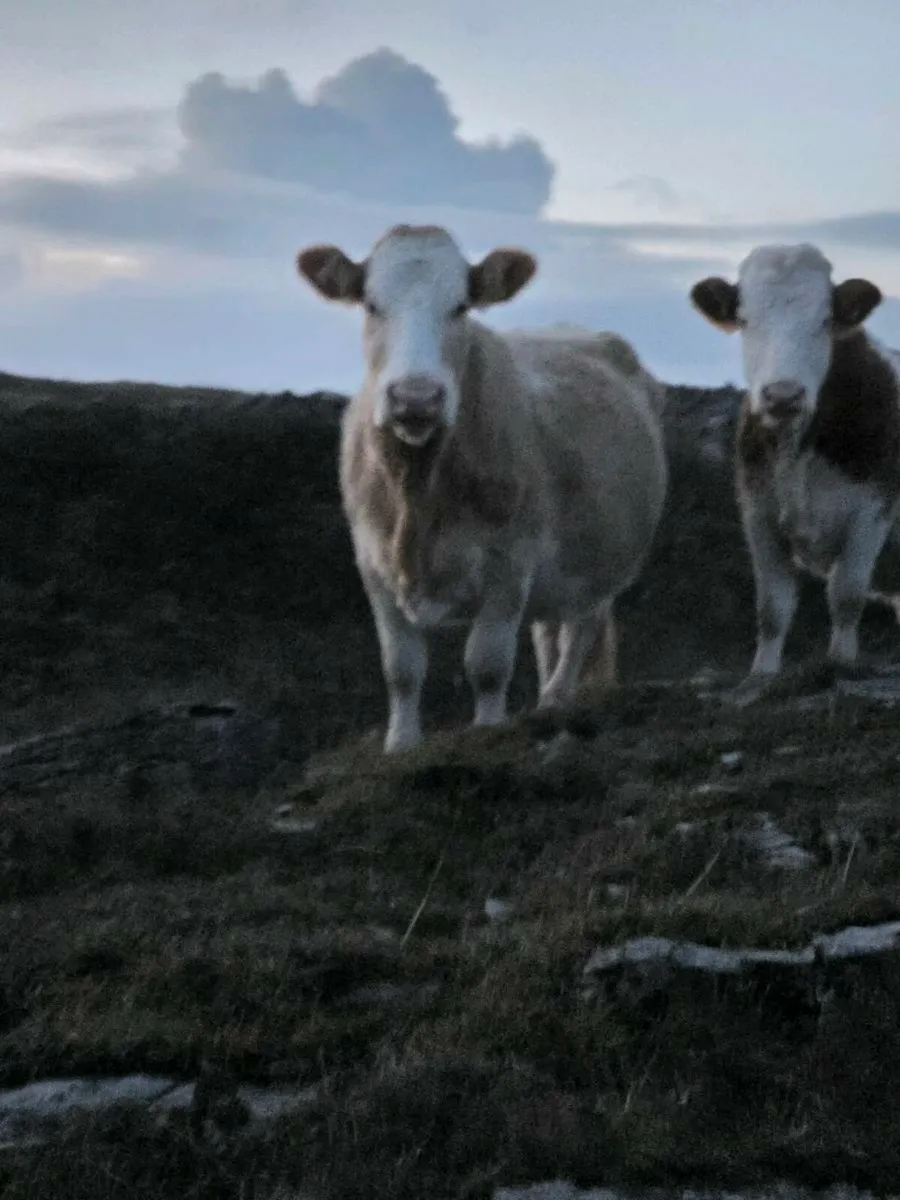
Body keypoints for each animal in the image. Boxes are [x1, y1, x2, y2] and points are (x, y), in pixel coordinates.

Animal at [296, 224, 668, 753]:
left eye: (461, 306)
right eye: (370, 303)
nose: (416, 397)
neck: (419, 497)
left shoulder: (510, 562)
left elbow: (488, 662)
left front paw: (489, 731)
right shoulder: (372, 563)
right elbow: (401, 668)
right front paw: (400, 744)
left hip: (607, 563)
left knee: (581, 629)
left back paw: (555, 700)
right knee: (548, 632)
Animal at [690, 242, 900, 684]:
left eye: (824, 320)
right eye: (745, 320)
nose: (783, 394)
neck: (798, 450)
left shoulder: (873, 511)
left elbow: (846, 595)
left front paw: (841, 663)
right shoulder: (758, 515)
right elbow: (772, 608)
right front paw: (763, 675)